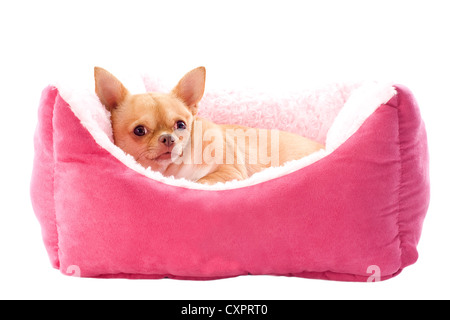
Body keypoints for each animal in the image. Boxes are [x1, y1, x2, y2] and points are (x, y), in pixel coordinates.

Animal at [96, 66, 324, 184]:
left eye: (181, 125)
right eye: (139, 131)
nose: (168, 138)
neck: (173, 170)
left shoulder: (229, 172)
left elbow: (200, 181)